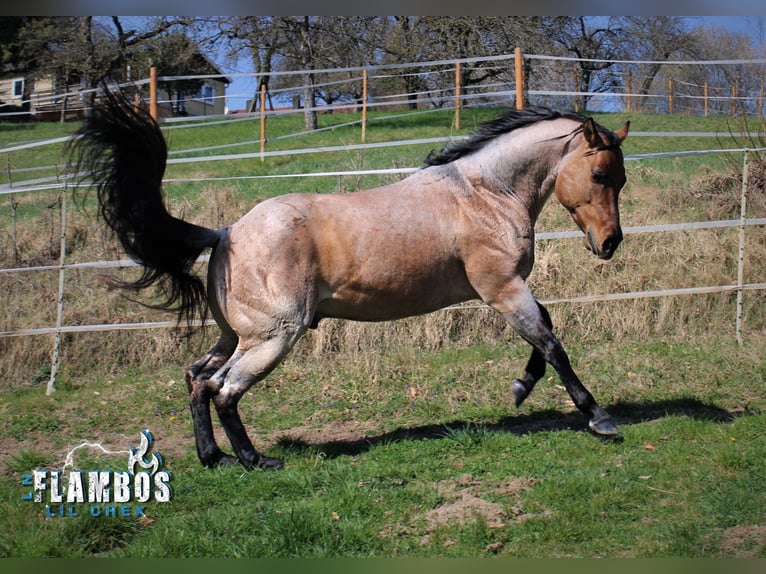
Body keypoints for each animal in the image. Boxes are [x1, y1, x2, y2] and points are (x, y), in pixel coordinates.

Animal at [69, 88, 632, 470]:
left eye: (621, 179)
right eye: (600, 175)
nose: (609, 244)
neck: (484, 193)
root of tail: (226, 232)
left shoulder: (507, 290)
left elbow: (546, 330)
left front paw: (519, 388)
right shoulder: (502, 289)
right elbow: (552, 342)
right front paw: (598, 418)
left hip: (236, 335)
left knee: (197, 378)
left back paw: (214, 457)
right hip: (273, 337)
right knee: (224, 388)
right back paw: (257, 461)